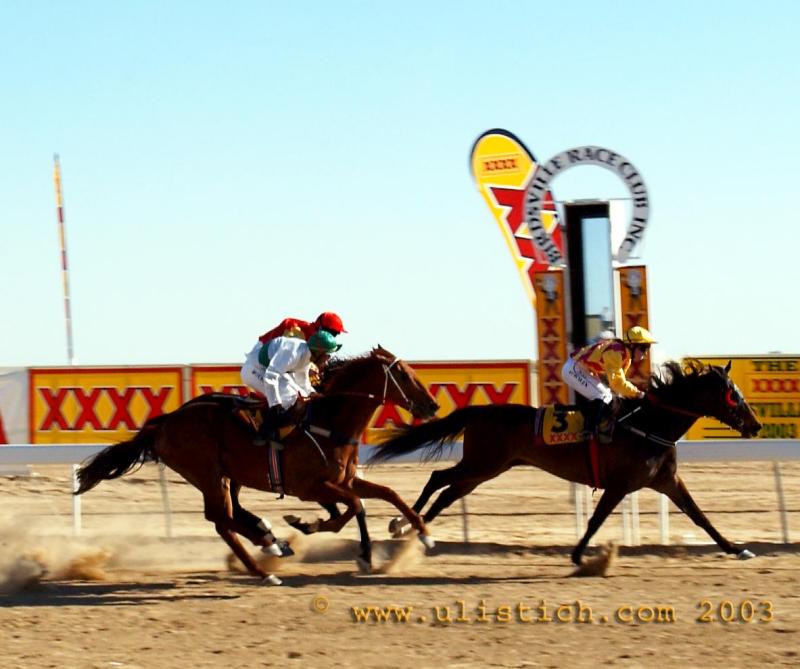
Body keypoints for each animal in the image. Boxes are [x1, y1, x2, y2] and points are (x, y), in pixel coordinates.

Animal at [76, 348, 438, 580]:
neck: (330, 422)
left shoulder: (344, 480)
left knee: (230, 514)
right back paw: (264, 563)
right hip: (207, 474)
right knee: (221, 520)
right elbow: (353, 506)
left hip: (228, 475)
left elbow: (386, 495)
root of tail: (165, 422)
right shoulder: (309, 487)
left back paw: (268, 539)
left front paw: (420, 534)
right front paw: (313, 529)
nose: (432, 405)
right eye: (404, 375)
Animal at [368, 360, 764, 564]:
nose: (756, 425)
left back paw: (414, 532)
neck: (650, 424)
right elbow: (596, 519)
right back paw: (403, 525)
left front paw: (736, 548)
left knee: (447, 493)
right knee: (438, 478)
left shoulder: (667, 481)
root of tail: (479, 410)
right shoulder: (620, 484)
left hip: (487, 469)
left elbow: (701, 517)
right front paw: (577, 555)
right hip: (482, 464)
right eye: (732, 394)